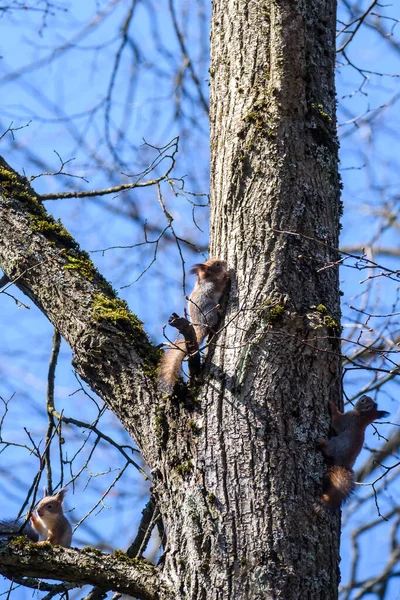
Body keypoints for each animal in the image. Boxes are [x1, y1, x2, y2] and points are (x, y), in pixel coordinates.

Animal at [158, 258, 230, 392]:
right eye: (217, 264)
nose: (225, 262)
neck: (207, 279)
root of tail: (200, 329)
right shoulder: (212, 286)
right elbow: (221, 284)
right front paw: (227, 275)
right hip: (210, 312)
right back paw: (220, 314)